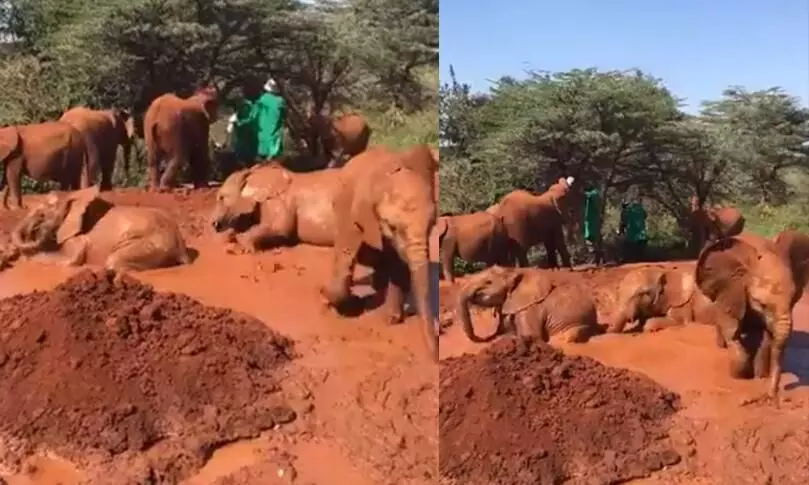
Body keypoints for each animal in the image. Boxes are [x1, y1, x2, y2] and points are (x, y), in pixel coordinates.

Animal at [11, 183, 191, 270]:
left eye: (42, 215)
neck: (72, 196)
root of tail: (181, 249)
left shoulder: (78, 237)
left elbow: (73, 258)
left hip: (152, 245)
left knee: (113, 262)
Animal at [210, 162, 340, 250]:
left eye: (221, 198)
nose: (213, 224)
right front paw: (231, 237)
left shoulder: (278, 201)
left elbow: (280, 228)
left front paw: (241, 246)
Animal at [318, 143, 438, 360]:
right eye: (393, 227)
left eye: (432, 224)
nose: (434, 360)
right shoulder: (355, 212)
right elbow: (347, 252)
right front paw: (335, 299)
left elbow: (397, 263)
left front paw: (391, 319)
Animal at [696, 233, 800, 402]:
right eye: (763, 304)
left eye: (793, 301)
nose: (771, 395)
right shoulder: (731, 288)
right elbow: (731, 328)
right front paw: (740, 375)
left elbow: (766, 337)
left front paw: (759, 375)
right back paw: (721, 345)